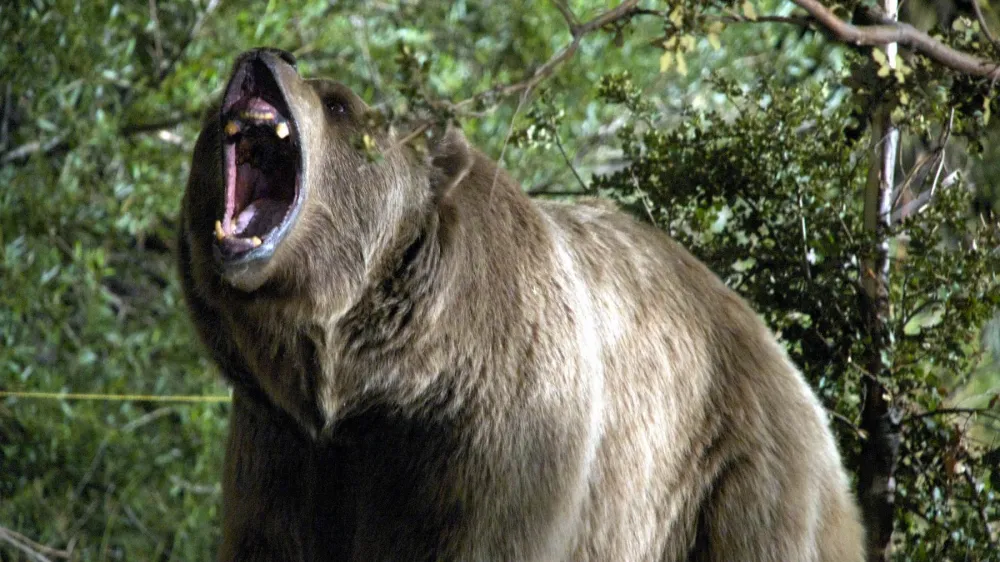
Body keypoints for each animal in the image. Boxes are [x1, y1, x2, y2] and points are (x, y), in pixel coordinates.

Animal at [178, 47, 864, 562]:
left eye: (339, 101)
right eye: (212, 114)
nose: (267, 54)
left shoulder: (499, 427)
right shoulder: (284, 442)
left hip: (735, 478)